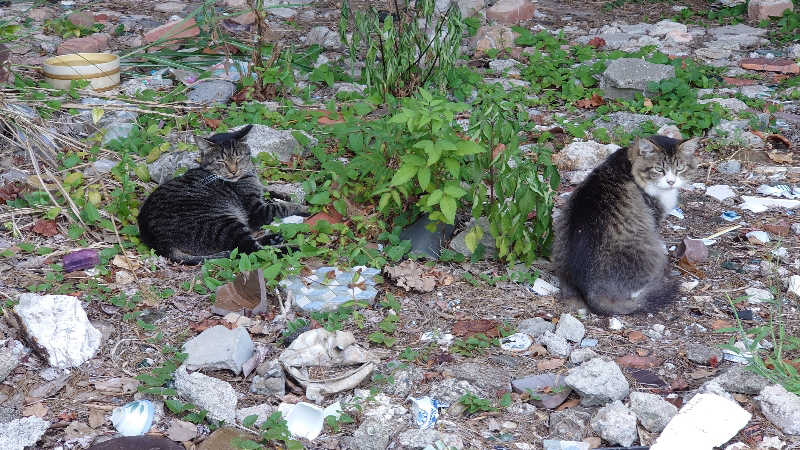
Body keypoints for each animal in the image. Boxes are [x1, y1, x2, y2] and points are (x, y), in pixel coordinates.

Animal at [138, 124, 306, 264]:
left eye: (238, 157)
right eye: (221, 161)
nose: (233, 171)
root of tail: (158, 243)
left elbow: (269, 191)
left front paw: (283, 194)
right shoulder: (257, 211)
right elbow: (281, 207)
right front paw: (302, 208)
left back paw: (274, 238)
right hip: (224, 224)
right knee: (251, 250)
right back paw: (290, 247)